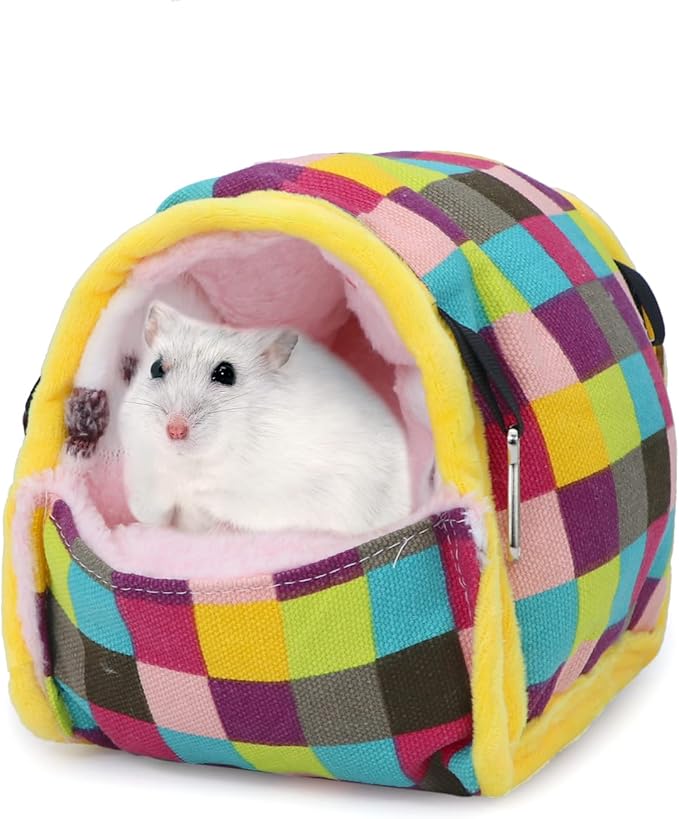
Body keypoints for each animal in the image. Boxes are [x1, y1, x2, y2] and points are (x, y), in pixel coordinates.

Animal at [118, 301, 412, 534]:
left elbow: (230, 502)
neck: (195, 461)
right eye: (156, 368)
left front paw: (200, 495)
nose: (175, 431)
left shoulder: (294, 494)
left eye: (226, 373)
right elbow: (151, 509)